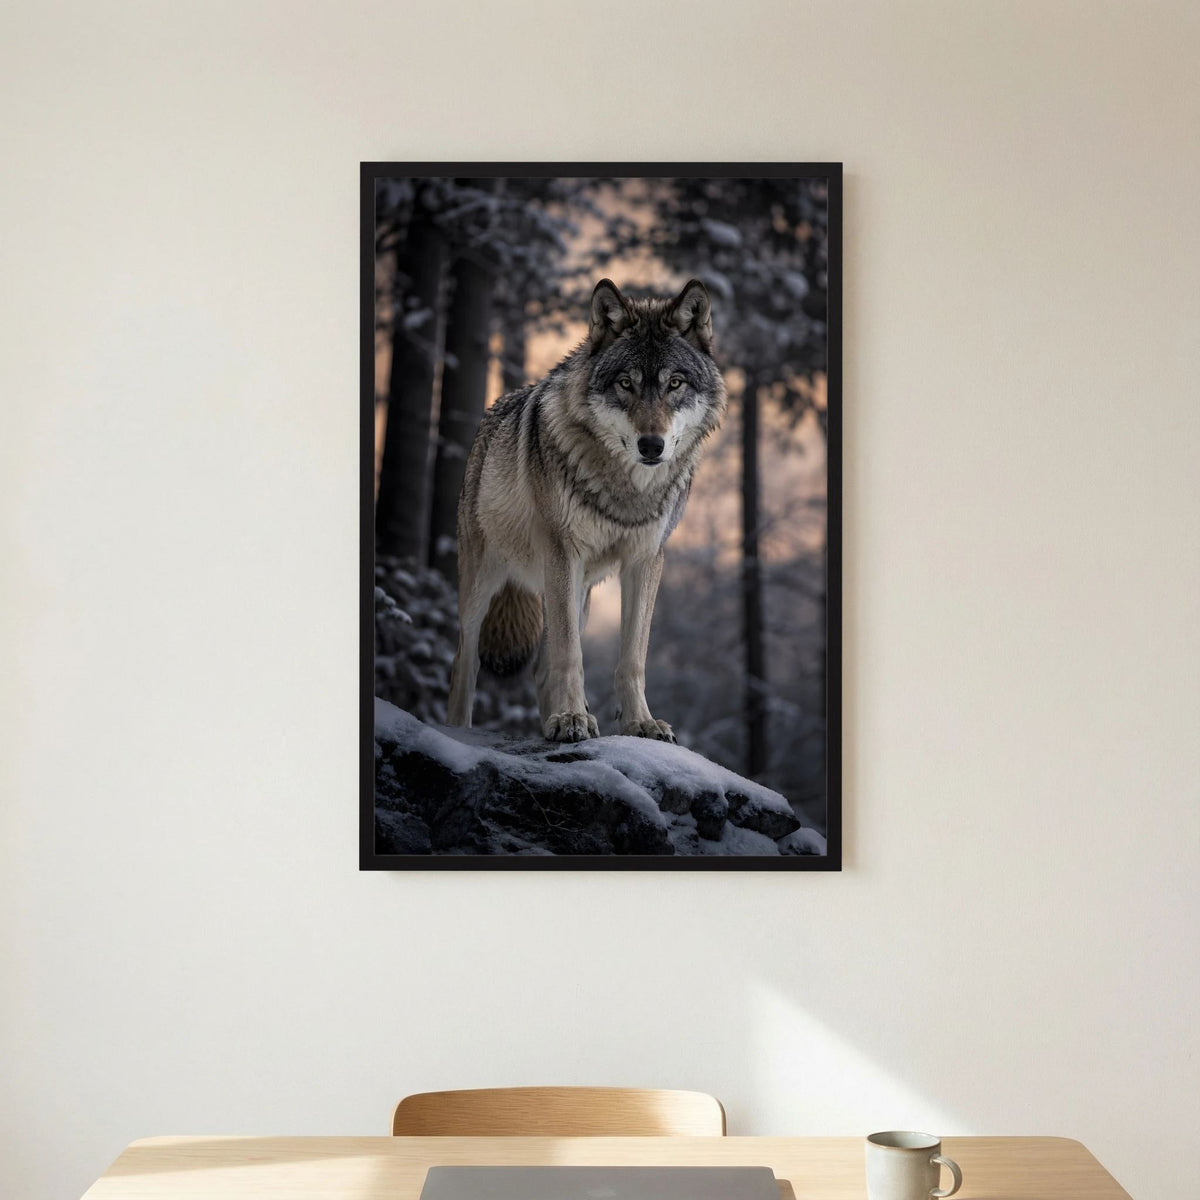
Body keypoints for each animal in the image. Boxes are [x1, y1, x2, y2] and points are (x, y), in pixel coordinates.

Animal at [446, 277, 727, 743]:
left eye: (675, 383)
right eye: (626, 383)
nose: (652, 445)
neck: (626, 489)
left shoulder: (646, 560)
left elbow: (632, 658)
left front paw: (640, 723)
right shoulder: (563, 552)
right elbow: (570, 655)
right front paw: (571, 718)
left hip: (579, 593)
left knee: (541, 669)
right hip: (485, 583)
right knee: (464, 661)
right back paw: (461, 731)